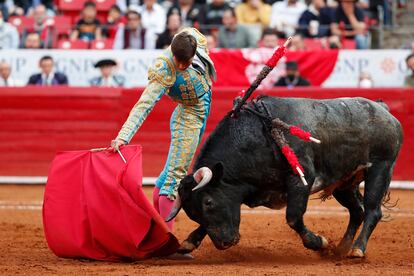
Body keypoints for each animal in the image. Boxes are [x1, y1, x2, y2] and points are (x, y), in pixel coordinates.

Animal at [167, 96, 402, 258]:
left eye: (208, 202)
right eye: (192, 213)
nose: (224, 243)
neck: (256, 139)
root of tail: (382, 109)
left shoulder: (301, 179)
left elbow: (294, 217)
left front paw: (319, 242)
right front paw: (189, 242)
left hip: (380, 168)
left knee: (372, 210)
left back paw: (357, 250)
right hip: (344, 183)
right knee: (357, 211)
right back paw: (341, 249)